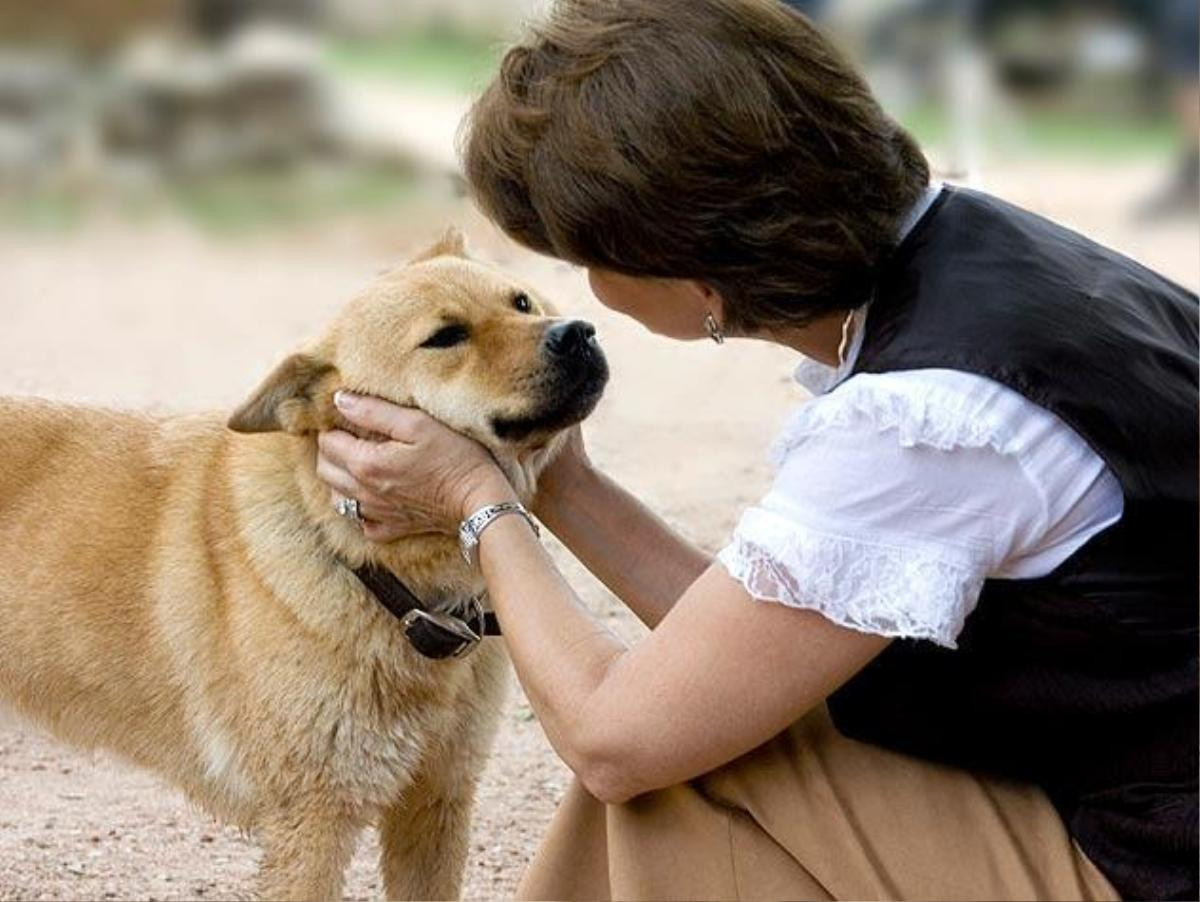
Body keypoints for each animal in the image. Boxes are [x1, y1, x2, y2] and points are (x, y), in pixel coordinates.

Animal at [0, 229, 609, 897]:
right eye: (446, 336)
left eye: (522, 302)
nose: (577, 332)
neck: (370, 569)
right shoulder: (314, 821)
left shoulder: (436, 802)